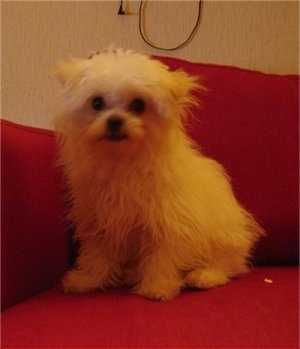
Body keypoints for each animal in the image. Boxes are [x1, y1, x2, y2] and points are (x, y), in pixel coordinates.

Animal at [53, 47, 262, 300]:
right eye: (96, 102)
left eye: (139, 105)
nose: (114, 121)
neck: (123, 161)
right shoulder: (99, 221)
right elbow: (97, 254)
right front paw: (88, 280)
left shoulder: (168, 222)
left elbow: (162, 255)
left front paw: (158, 287)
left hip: (224, 235)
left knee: (228, 264)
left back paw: (204, 276)